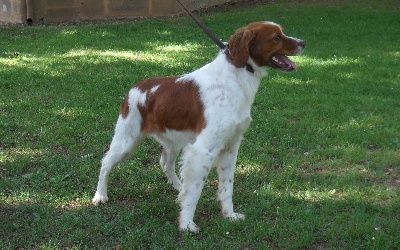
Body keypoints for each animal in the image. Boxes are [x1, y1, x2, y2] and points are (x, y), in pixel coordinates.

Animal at [93, 21, 306, 232]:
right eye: (276, 37)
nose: (303, 43)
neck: (236, 77)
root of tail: (135, 88)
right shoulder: (204, 149)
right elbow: (195, 191)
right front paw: (187, 224)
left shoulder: (230, 147)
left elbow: (227, 187)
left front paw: (229, 214)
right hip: (126, 141)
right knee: (106, 163)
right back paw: (100, 196)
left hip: (173, 142)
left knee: (165, 164)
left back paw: (179, 188)